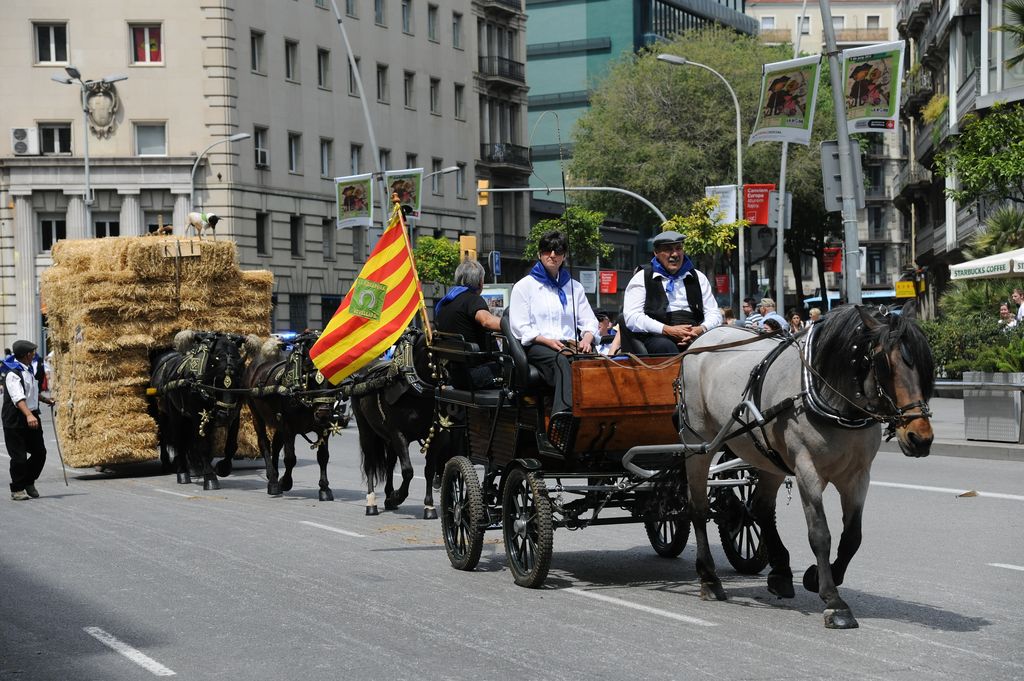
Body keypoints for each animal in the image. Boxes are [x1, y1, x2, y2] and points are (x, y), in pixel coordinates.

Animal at [148, 329, 256, 489]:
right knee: (174, 439)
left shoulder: (235, 414)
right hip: (172, 414)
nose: (224, 415)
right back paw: (181, 472)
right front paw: (210, 478)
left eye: (238, 380)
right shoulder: (198, 415)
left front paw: (223, 468)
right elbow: (202, 445)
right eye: (217, 380)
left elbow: (230, 444)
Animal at [243, 333, 348, 499]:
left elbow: (323, 456)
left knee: (276, 444)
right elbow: (290, 458)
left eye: (332, 381)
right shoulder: (288, 427)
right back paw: (273, 480)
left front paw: (324, 488)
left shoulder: (323, 428)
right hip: (256, 415)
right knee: (264, 443)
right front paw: (284, 482)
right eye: (311, 378)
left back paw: (273, 473)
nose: (323, 414)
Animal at [352, 327, 448, 516]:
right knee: (370, 465)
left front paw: (429, 506)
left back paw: (388, 497)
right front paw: (398, 496)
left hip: (388, 439)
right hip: (366, 430)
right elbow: (408, 470)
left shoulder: (437, 437)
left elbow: (429, 470)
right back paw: (372, 502)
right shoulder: (398, 434)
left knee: (389, 464)